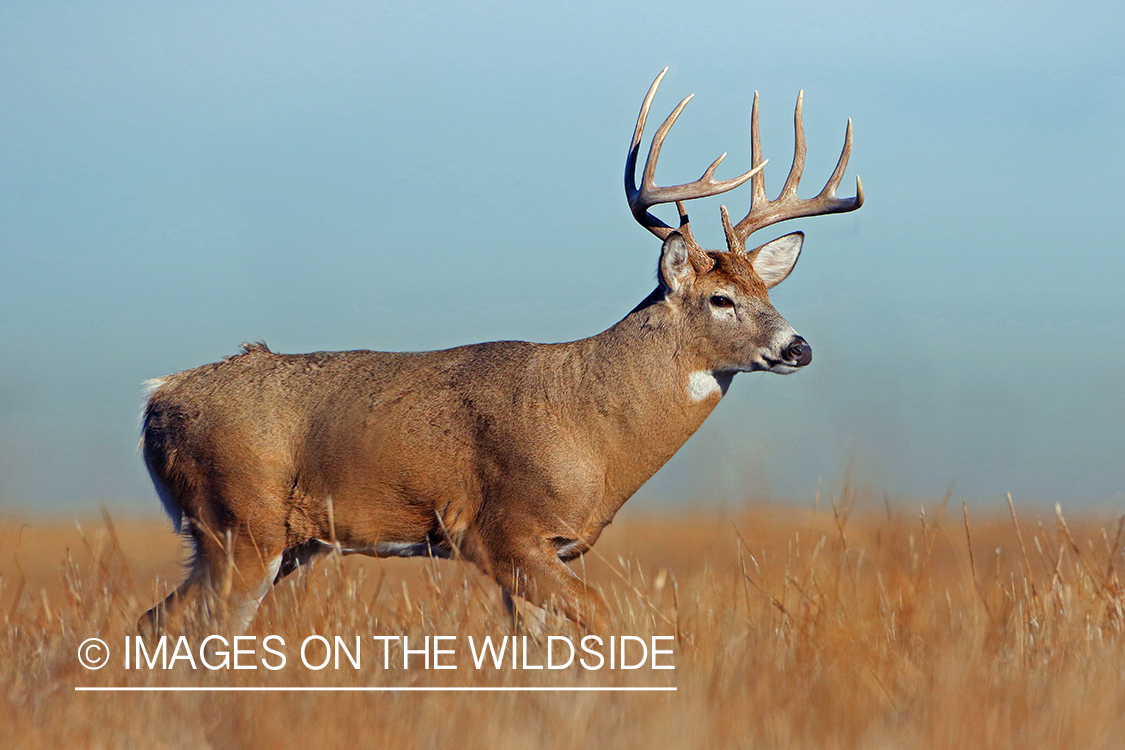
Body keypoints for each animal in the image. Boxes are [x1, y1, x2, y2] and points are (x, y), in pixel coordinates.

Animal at [140, 68, 859, 634]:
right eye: (720, 299)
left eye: (767, 289)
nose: (798, 347)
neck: (593, 428)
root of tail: (158, 398)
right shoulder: (499, 533)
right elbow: (605, 618)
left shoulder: (548, 549)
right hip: (241, 525)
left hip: (272, 542)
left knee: (155, 618)